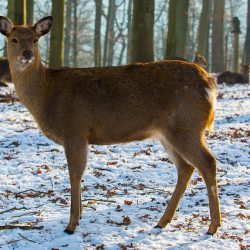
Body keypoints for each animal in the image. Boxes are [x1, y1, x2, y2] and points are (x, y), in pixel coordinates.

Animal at [0, 16, 221, 235]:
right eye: (14, 39)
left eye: (35, 40)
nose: (27, 54)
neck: (47, 95)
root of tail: (209, 83)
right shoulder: (81, 136)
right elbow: (79, 174)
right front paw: (80, 217)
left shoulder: (75, 130)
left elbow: (74, 174)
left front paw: (71, 225)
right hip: (168, 133)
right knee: (186, 167)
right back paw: (163, 221)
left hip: (186, 125)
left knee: (207, 162)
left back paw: (212, 226)